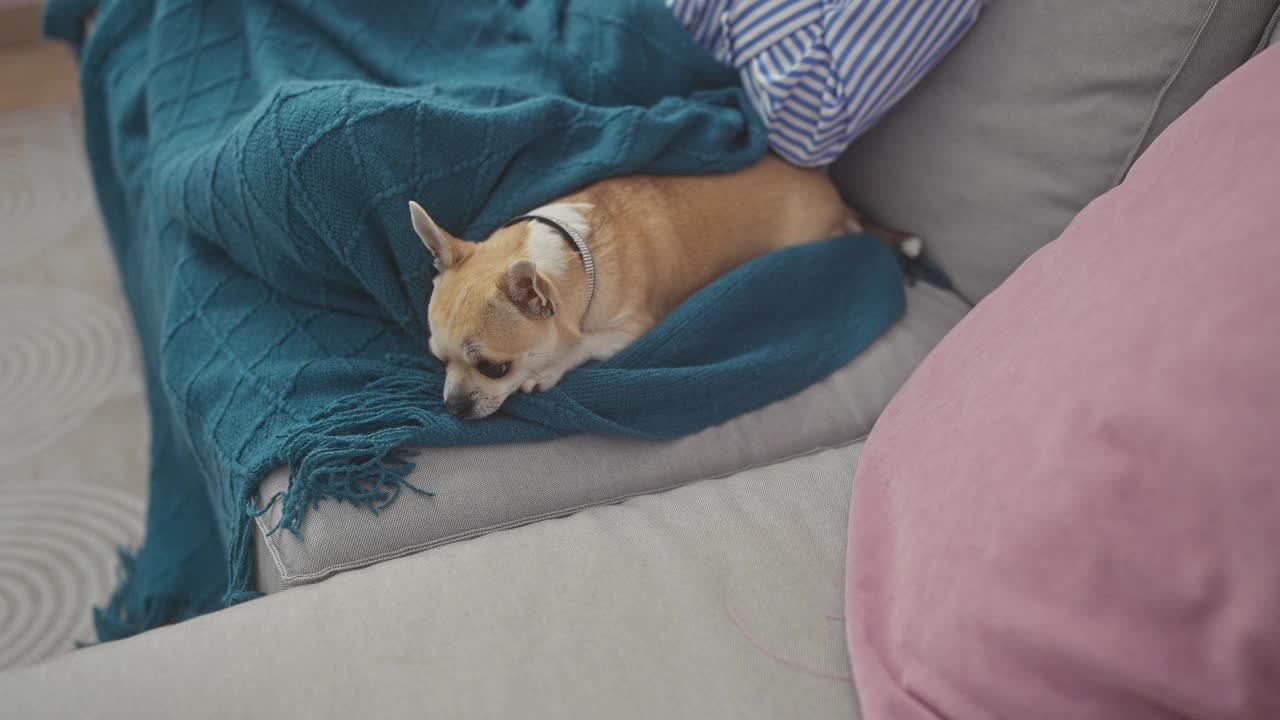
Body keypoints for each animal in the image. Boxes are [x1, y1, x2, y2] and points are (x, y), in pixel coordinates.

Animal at [404, 152, 916, 420]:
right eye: (438, 360)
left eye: (495, 369)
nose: (451, 405)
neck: (570, 251)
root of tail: (837, 198)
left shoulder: (632, 328)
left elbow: (582, 343)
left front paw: (545, 371)